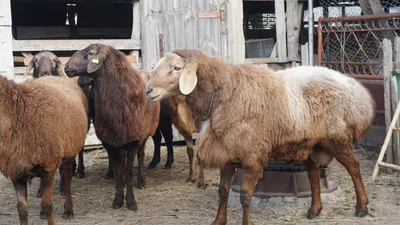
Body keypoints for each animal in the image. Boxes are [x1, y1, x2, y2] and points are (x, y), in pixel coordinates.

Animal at [0, 74, 88, 225]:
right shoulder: (16, 171)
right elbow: (22, 209)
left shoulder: (49, 167)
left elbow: (48, 205)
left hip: (69, 152)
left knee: (67, 179)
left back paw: (68, 210)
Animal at [145, 48, 376, 225]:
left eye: (177, 68)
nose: (149, 90)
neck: (222, 92)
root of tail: (359, 91)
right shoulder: (228, 154)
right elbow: (223, 191)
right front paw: (218, 221)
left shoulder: (252, 156)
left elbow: (246, 196)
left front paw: (246, 222)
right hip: (311, 142)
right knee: (312, 172)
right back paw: (314, 209)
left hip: (337, 138)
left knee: (353, 167)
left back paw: (362, 206)